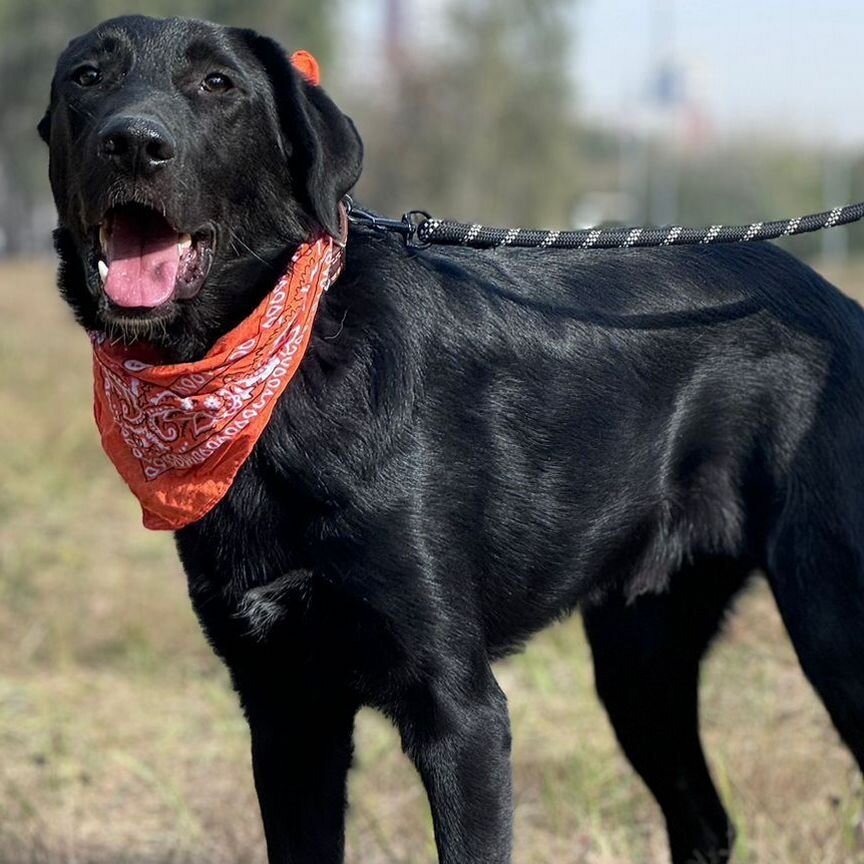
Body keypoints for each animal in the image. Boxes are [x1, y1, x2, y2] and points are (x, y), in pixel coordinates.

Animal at [42, 15, 864, 864]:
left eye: (218, 85)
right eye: (86, 78)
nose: (133, 143)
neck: (282, 373)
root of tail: (834, 305)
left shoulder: (460, 715)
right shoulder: (286, 712)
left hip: (833, 628)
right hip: (641, 654)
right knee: (705, 821)